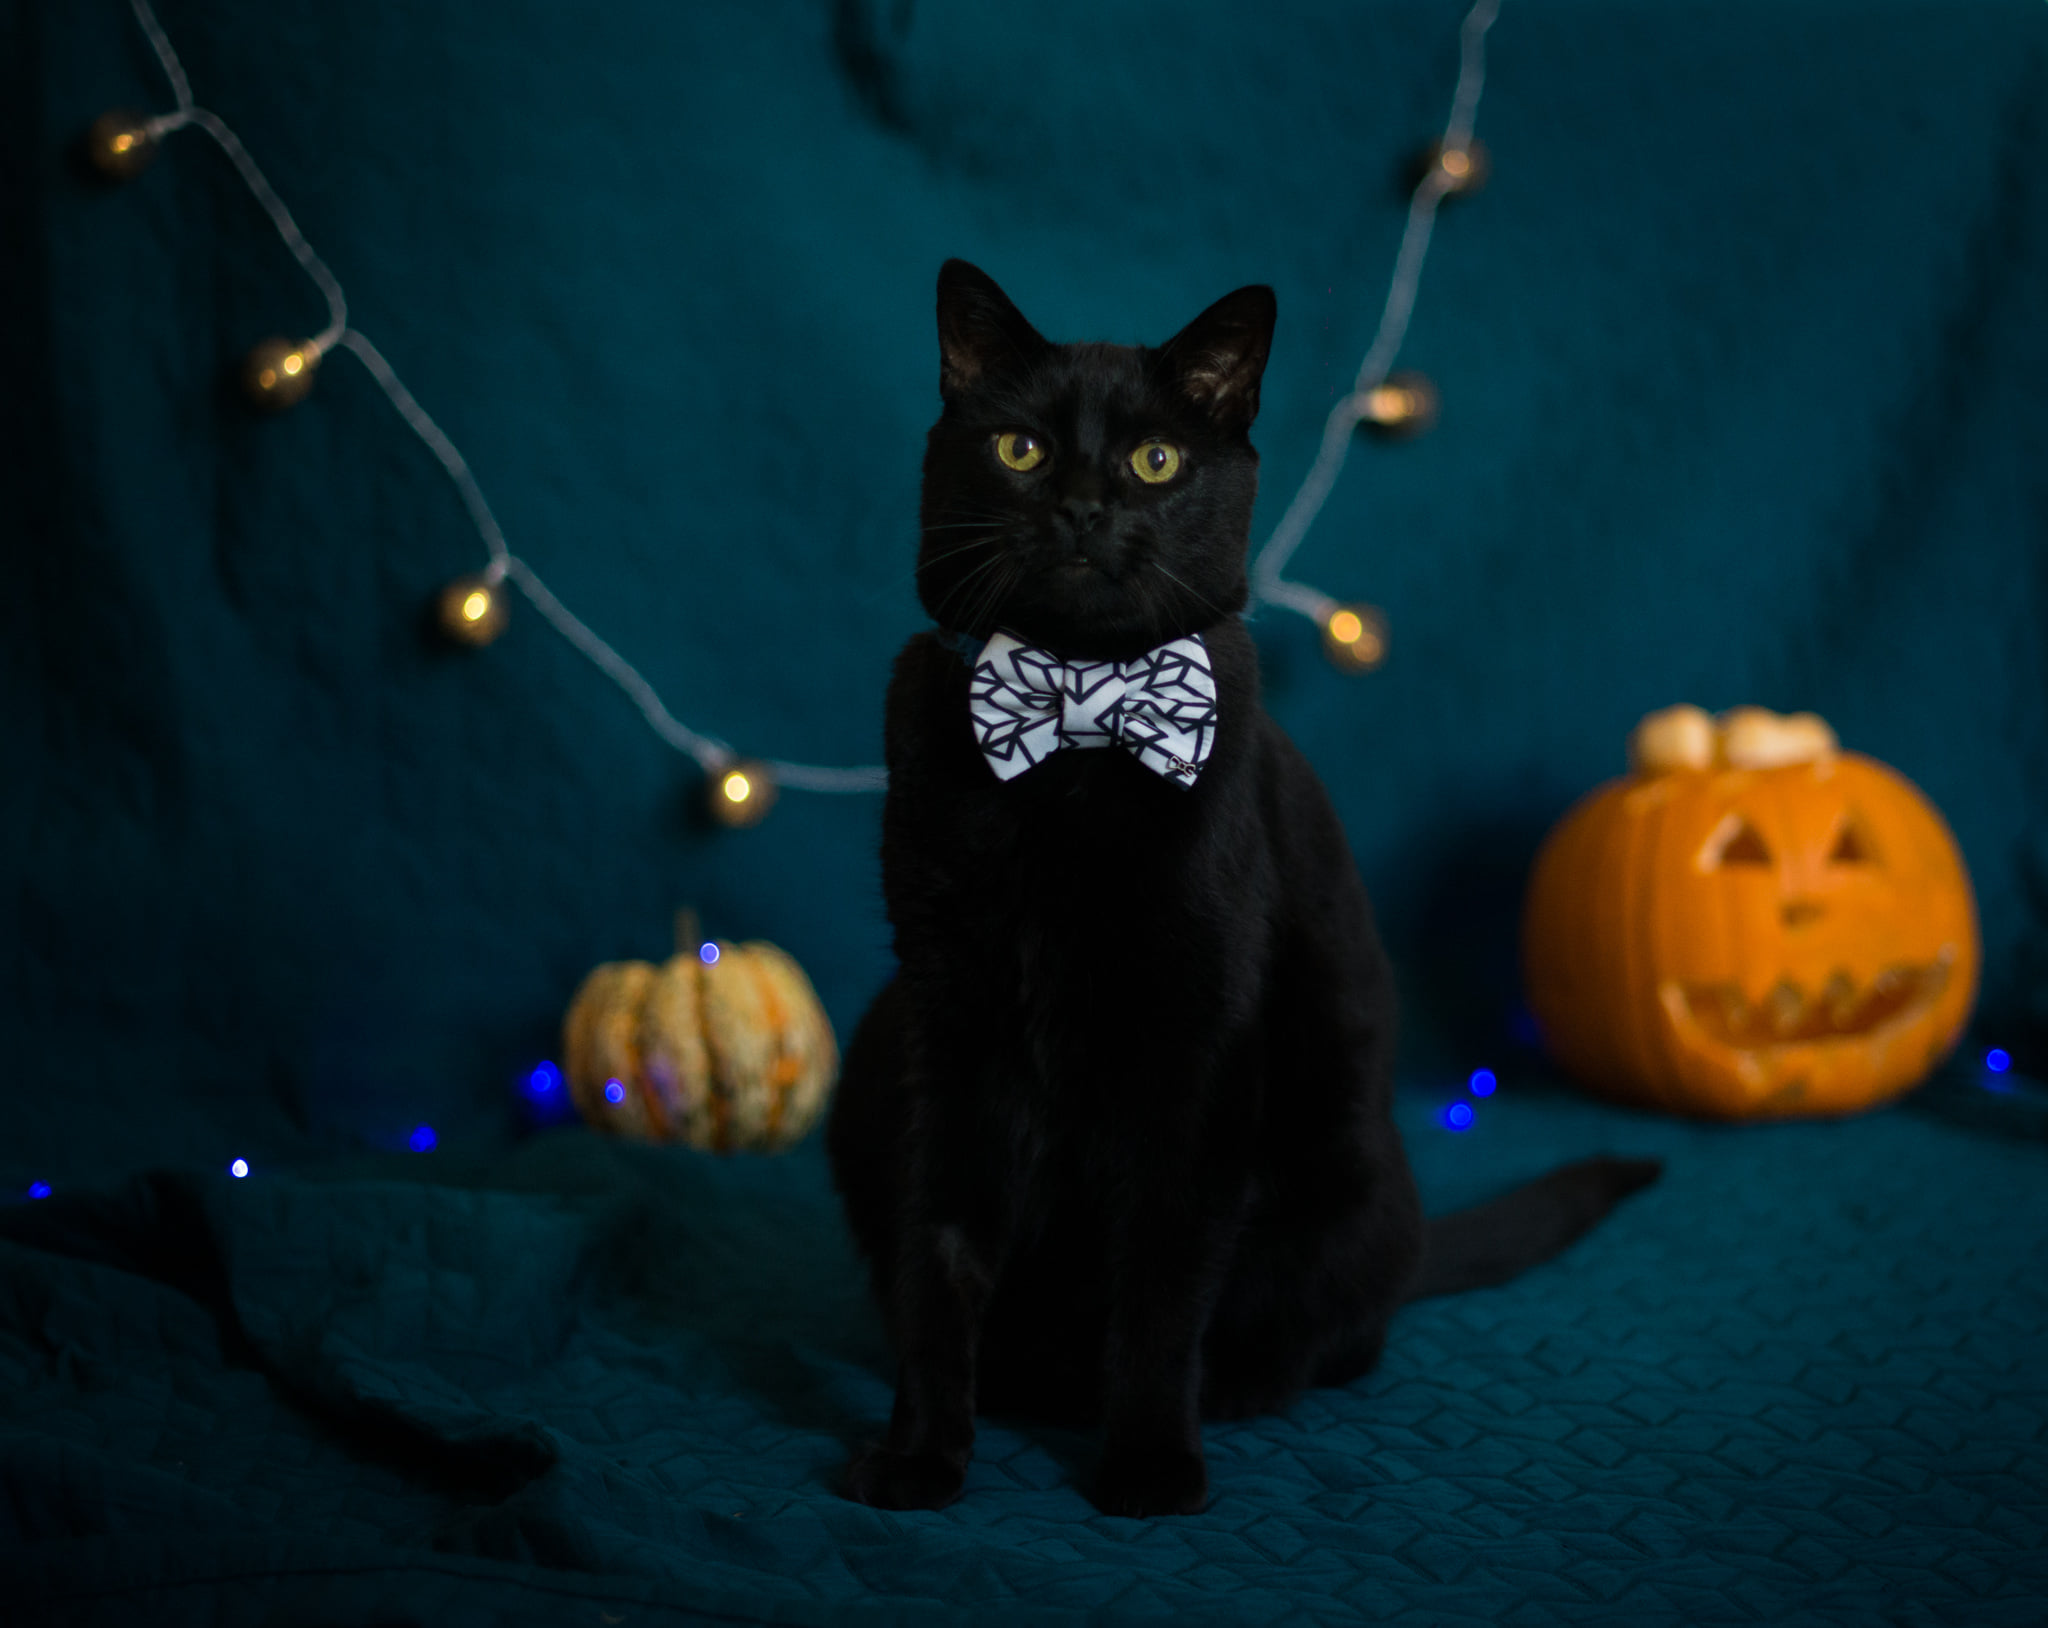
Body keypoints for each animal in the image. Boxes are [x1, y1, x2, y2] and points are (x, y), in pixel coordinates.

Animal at [823, 261, 1654, 1523]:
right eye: (1020, 449)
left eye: (1156, 460)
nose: (1081, 506)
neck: (1074, 725)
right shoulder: (944, 1019)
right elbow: (940, 1247)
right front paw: (921, 1452)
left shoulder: (1197, 1044)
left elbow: (1163, 1280)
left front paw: (1147, 1462)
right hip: (873, 1047)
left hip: (1341, 1175)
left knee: (1335, 1333)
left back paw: (1228, 1384)